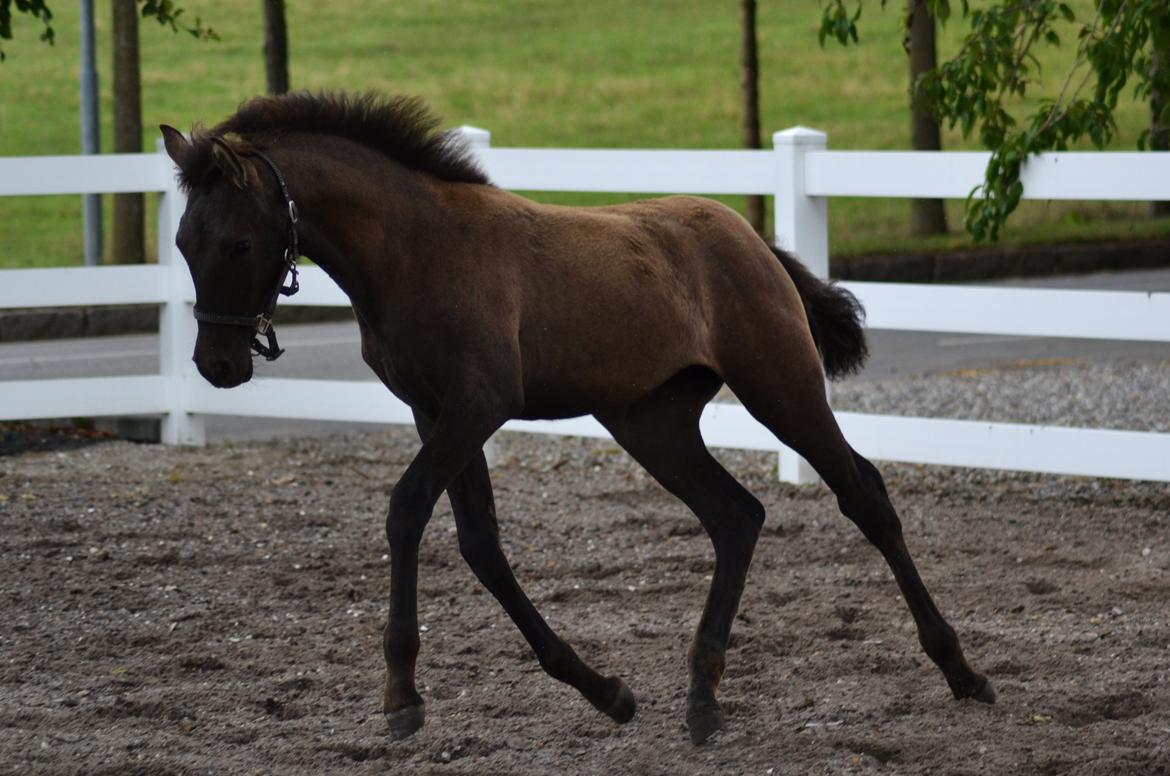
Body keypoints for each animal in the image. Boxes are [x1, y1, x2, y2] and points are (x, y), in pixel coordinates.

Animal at [160, 91, 992, 749]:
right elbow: (481, 544)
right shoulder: (435, 412)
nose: (217, 364)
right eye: (181, 242)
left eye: (238, 241)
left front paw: (401, 695)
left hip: (781, 385)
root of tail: (748, 235)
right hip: (651, 421)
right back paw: (702, 697)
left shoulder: (479, 403)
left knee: (864, 497)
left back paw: (962, 671)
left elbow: (408, 511)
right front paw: (606, 692)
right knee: (736, 515)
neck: (416, 247)